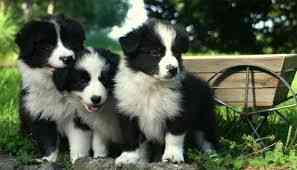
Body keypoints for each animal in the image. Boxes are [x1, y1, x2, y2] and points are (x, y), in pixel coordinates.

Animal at [15, 14, 88, 162]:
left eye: (69, 43)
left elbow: (79, 140)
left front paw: (78, 159)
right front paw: (48, 160)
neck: (55, 86)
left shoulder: (78, 115)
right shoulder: (40, 113)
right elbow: (48, 141)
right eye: (48, 46)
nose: (68, 58)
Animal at [113, 18, 217, 165]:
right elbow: (130, 137)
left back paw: (212, 157)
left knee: (207, 138)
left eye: (177, 53)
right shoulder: (127, 112)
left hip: (204, 118)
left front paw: (172, 156)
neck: (153, 85)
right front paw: (128, 157)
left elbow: (173, 136)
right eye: (155, 52)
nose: (173, 69)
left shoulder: (178, 110)